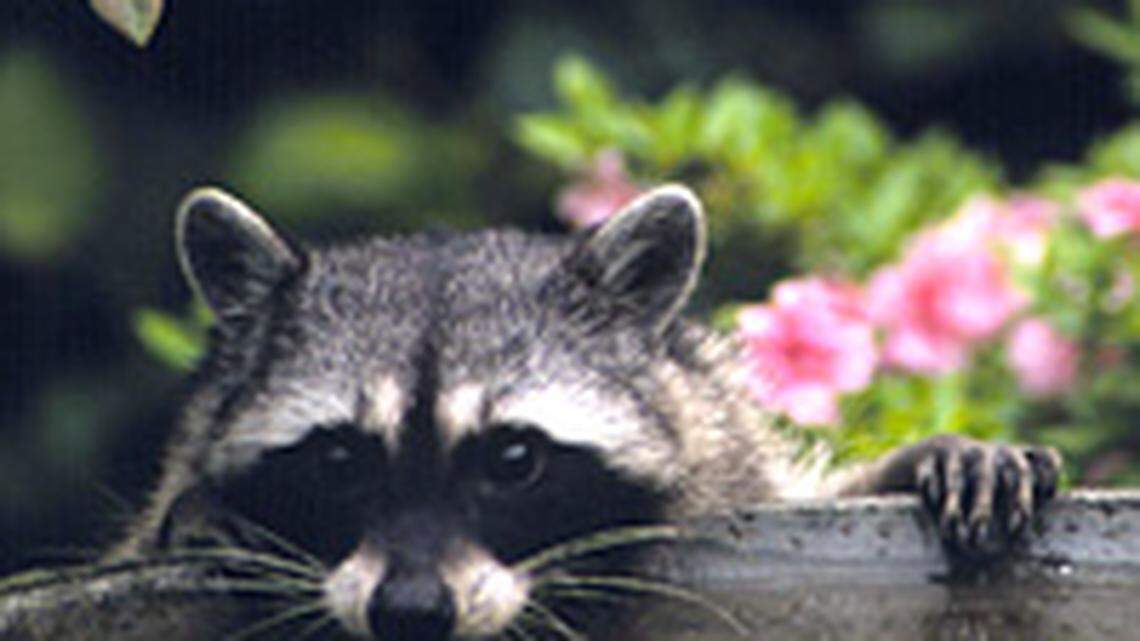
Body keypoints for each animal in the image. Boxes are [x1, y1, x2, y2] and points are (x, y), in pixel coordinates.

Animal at [117, 184, 1061, 641]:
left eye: (511, 459)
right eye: (341, 460)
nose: (412, 614)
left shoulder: (724, 450)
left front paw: (932, 455)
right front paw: (196, 514)